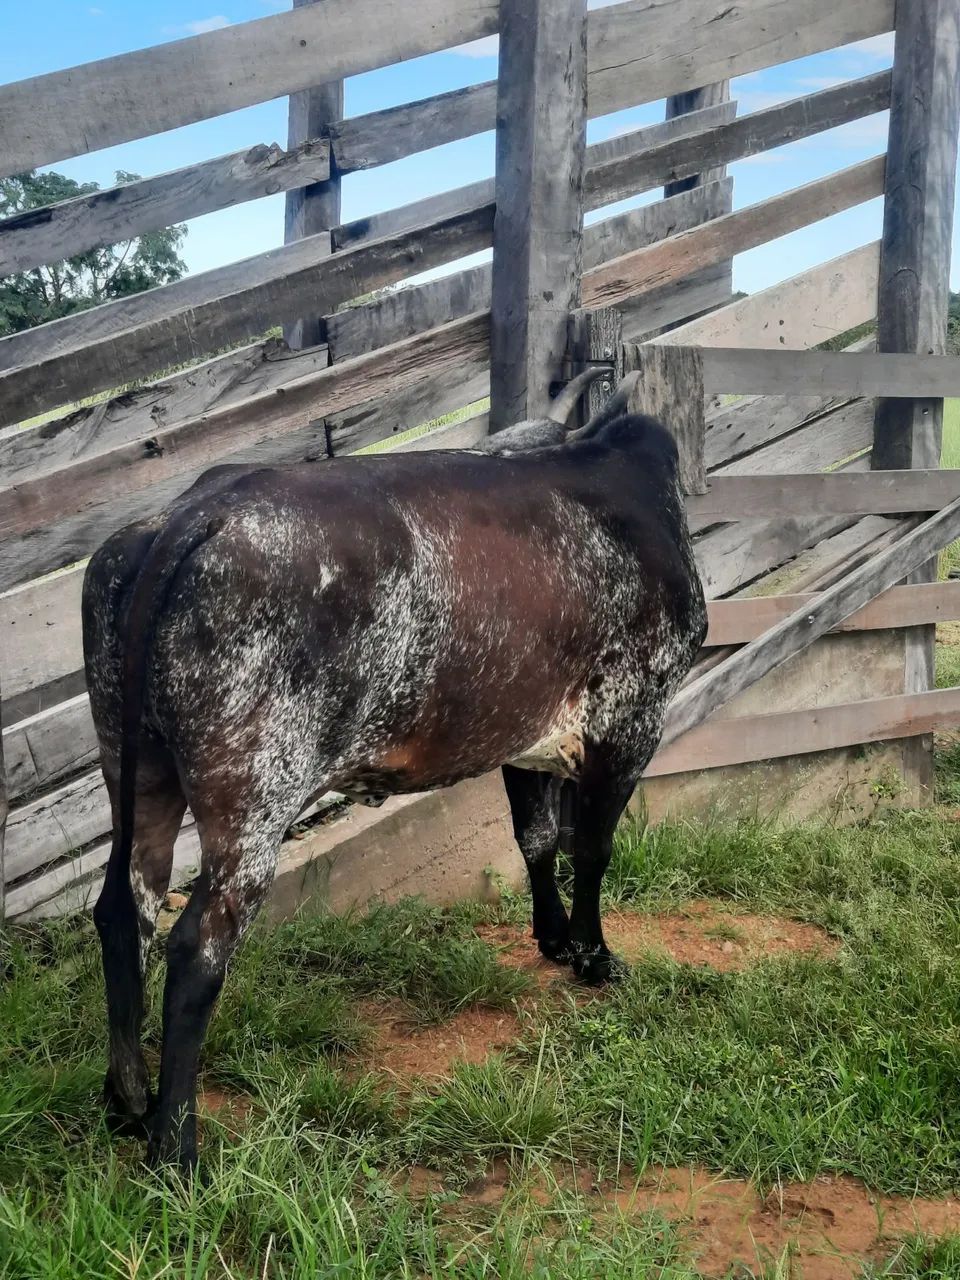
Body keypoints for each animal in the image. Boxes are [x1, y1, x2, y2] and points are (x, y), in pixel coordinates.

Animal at [83, 372, 707, 1169]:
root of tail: (192, 514)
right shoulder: (629, 722)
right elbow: (592, 851)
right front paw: (596, 957)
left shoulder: (523, 736)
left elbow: (537, 840)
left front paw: (556, 940)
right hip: (254, 795)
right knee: (198, 944)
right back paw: (175, 1146)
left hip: (136, 768)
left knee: (123, 906)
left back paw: (126, 1099)